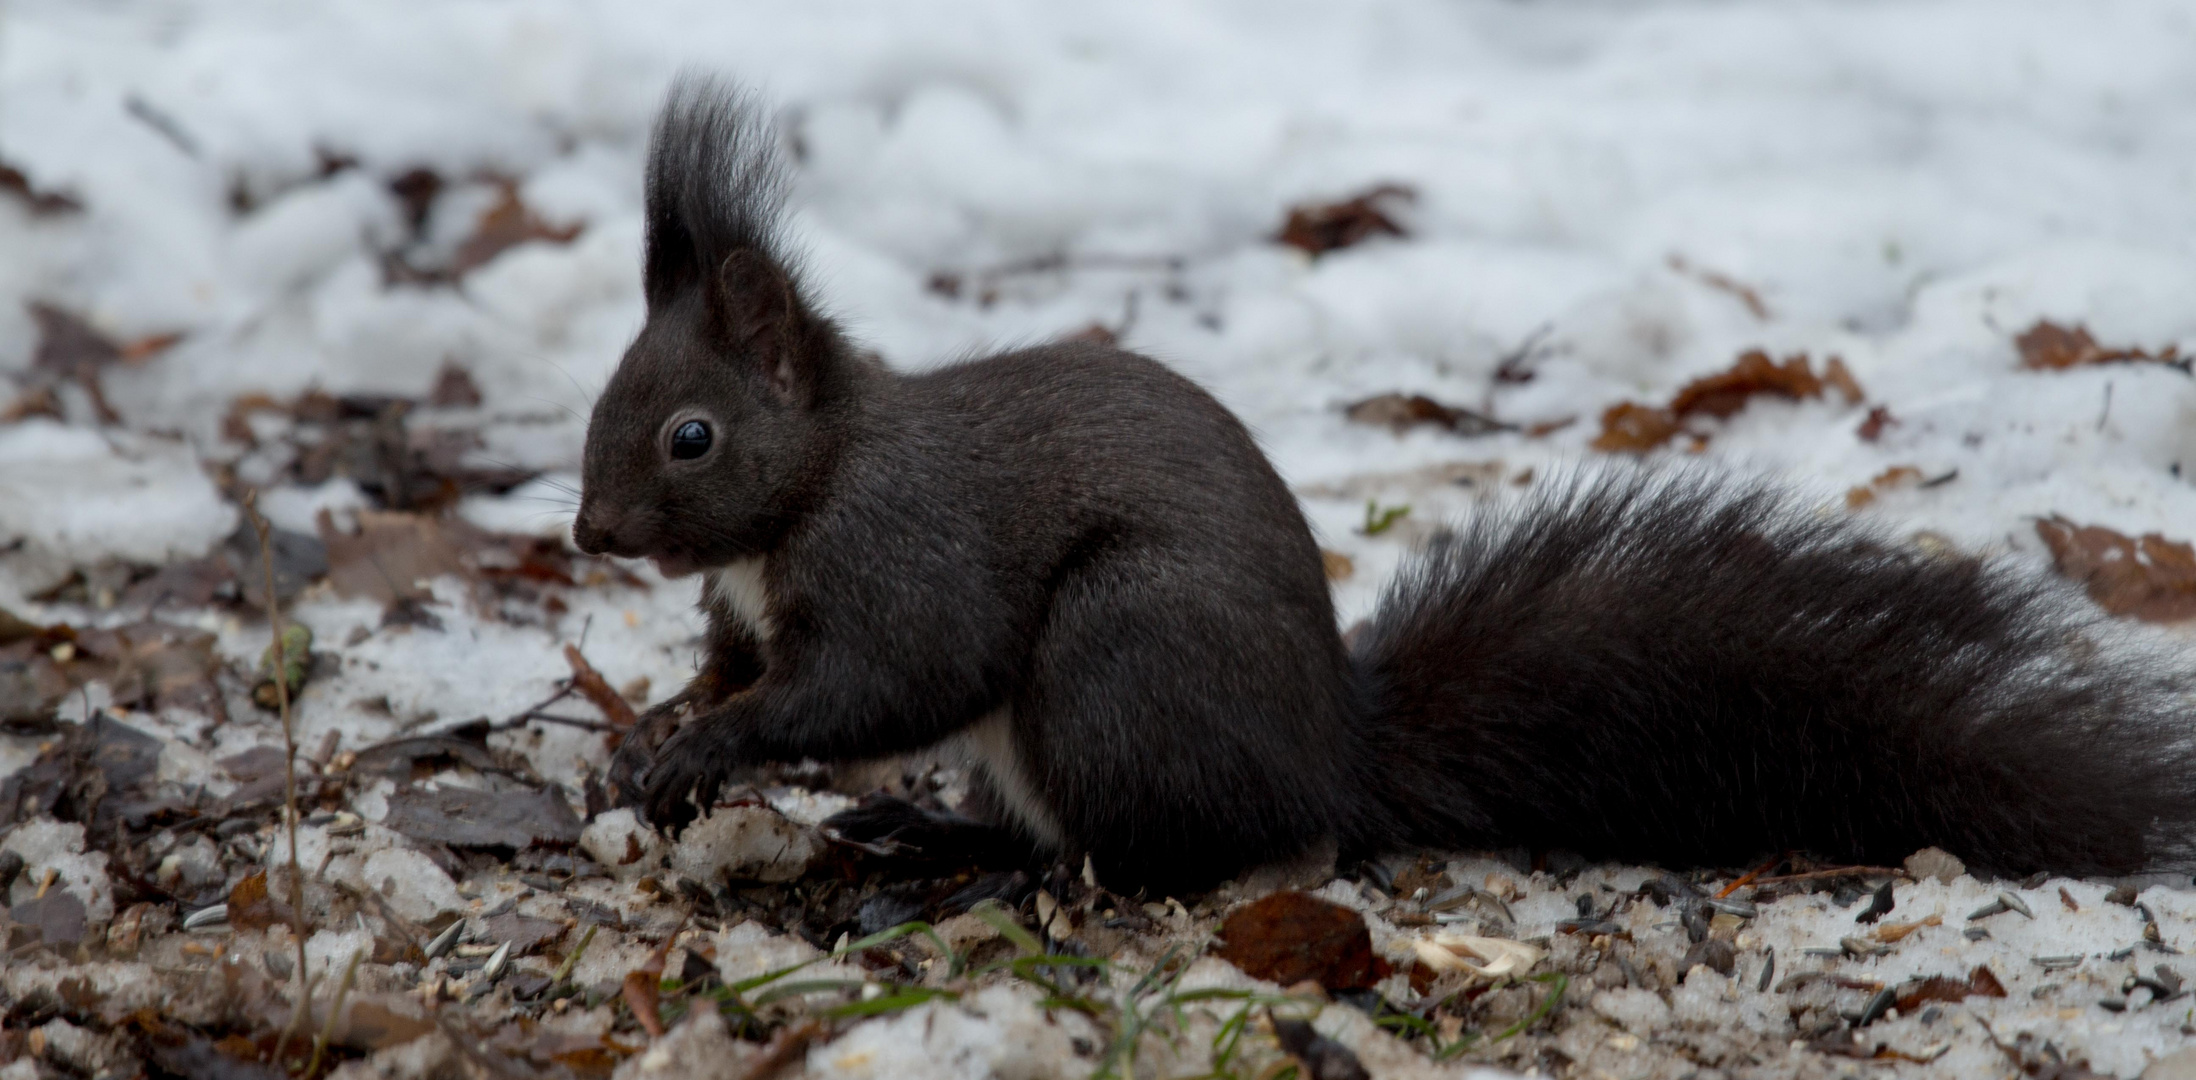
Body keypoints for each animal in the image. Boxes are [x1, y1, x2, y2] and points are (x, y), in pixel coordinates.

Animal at [575, 77, 2196, 895]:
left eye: (690, 436)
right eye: (610, 392)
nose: (590, 533)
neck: (817, 479)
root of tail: (1328, 758)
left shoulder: (904, 556)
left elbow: (888, 679)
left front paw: (710, 749)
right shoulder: (752, 605)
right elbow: (743, 668)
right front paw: (662, 732)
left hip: (1120, 657)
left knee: (1165, 852)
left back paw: (1010, 877)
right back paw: (946, 836)